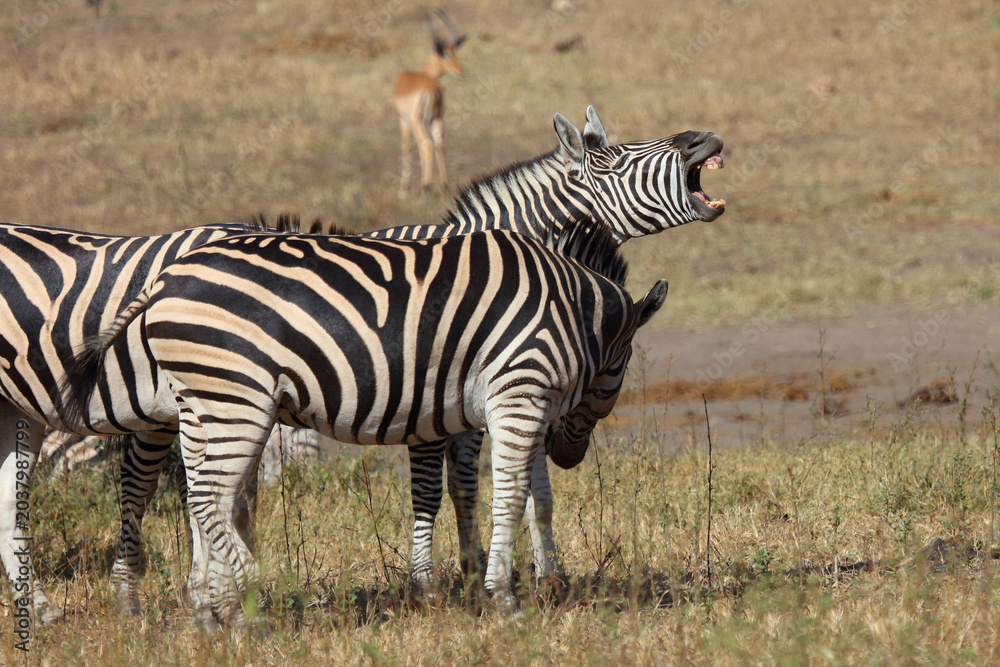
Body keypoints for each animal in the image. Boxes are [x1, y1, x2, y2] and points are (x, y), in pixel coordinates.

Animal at [61, 218, 670, 625]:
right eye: (624, 363)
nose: (571, 455)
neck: (575, 308)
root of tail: (163, 279)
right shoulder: (519, 391)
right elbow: (509, 495)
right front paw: (504, 598)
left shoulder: (511, 403)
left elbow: (523, 496)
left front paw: (529, 582)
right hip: (236, 398)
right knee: (208, 497)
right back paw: (254, 597)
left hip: (204, 399)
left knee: (203, 497)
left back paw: (218, 609)